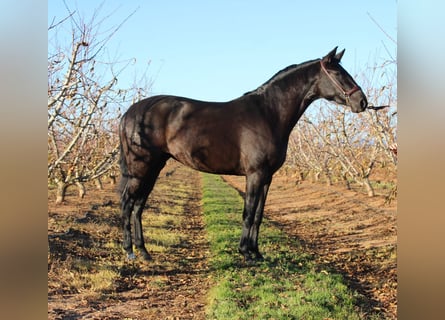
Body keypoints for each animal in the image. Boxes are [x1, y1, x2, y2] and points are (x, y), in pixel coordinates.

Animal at [118, 48, 368, 262]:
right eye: (337, 73)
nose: (362, 102)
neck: (268, 114)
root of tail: (130, 112)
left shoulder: (267, 177)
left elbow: (258, 214)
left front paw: (257, 253)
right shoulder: (254, 174)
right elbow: (247, 213)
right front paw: (245, 253)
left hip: (153, 168)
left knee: (139, 205)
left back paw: (144, 252)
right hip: (140, 168)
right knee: (127, 203)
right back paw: (130, 251)